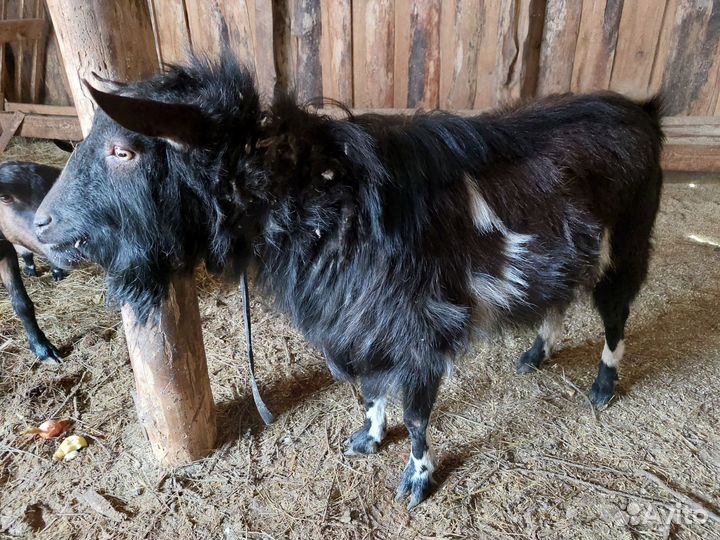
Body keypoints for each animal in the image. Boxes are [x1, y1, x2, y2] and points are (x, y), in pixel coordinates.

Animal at [34, 55, 664, 507]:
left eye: (124, 151)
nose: (41, 224)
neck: (317, 201)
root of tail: (643, 112)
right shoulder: (354, 324)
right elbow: (367, 389)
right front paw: (367, 439)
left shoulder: (419, 331)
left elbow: (416, 414)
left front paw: (416, 479)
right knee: (559, 294)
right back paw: (536, 353)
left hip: (630, 239)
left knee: (616, 311)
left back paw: (603, 387)